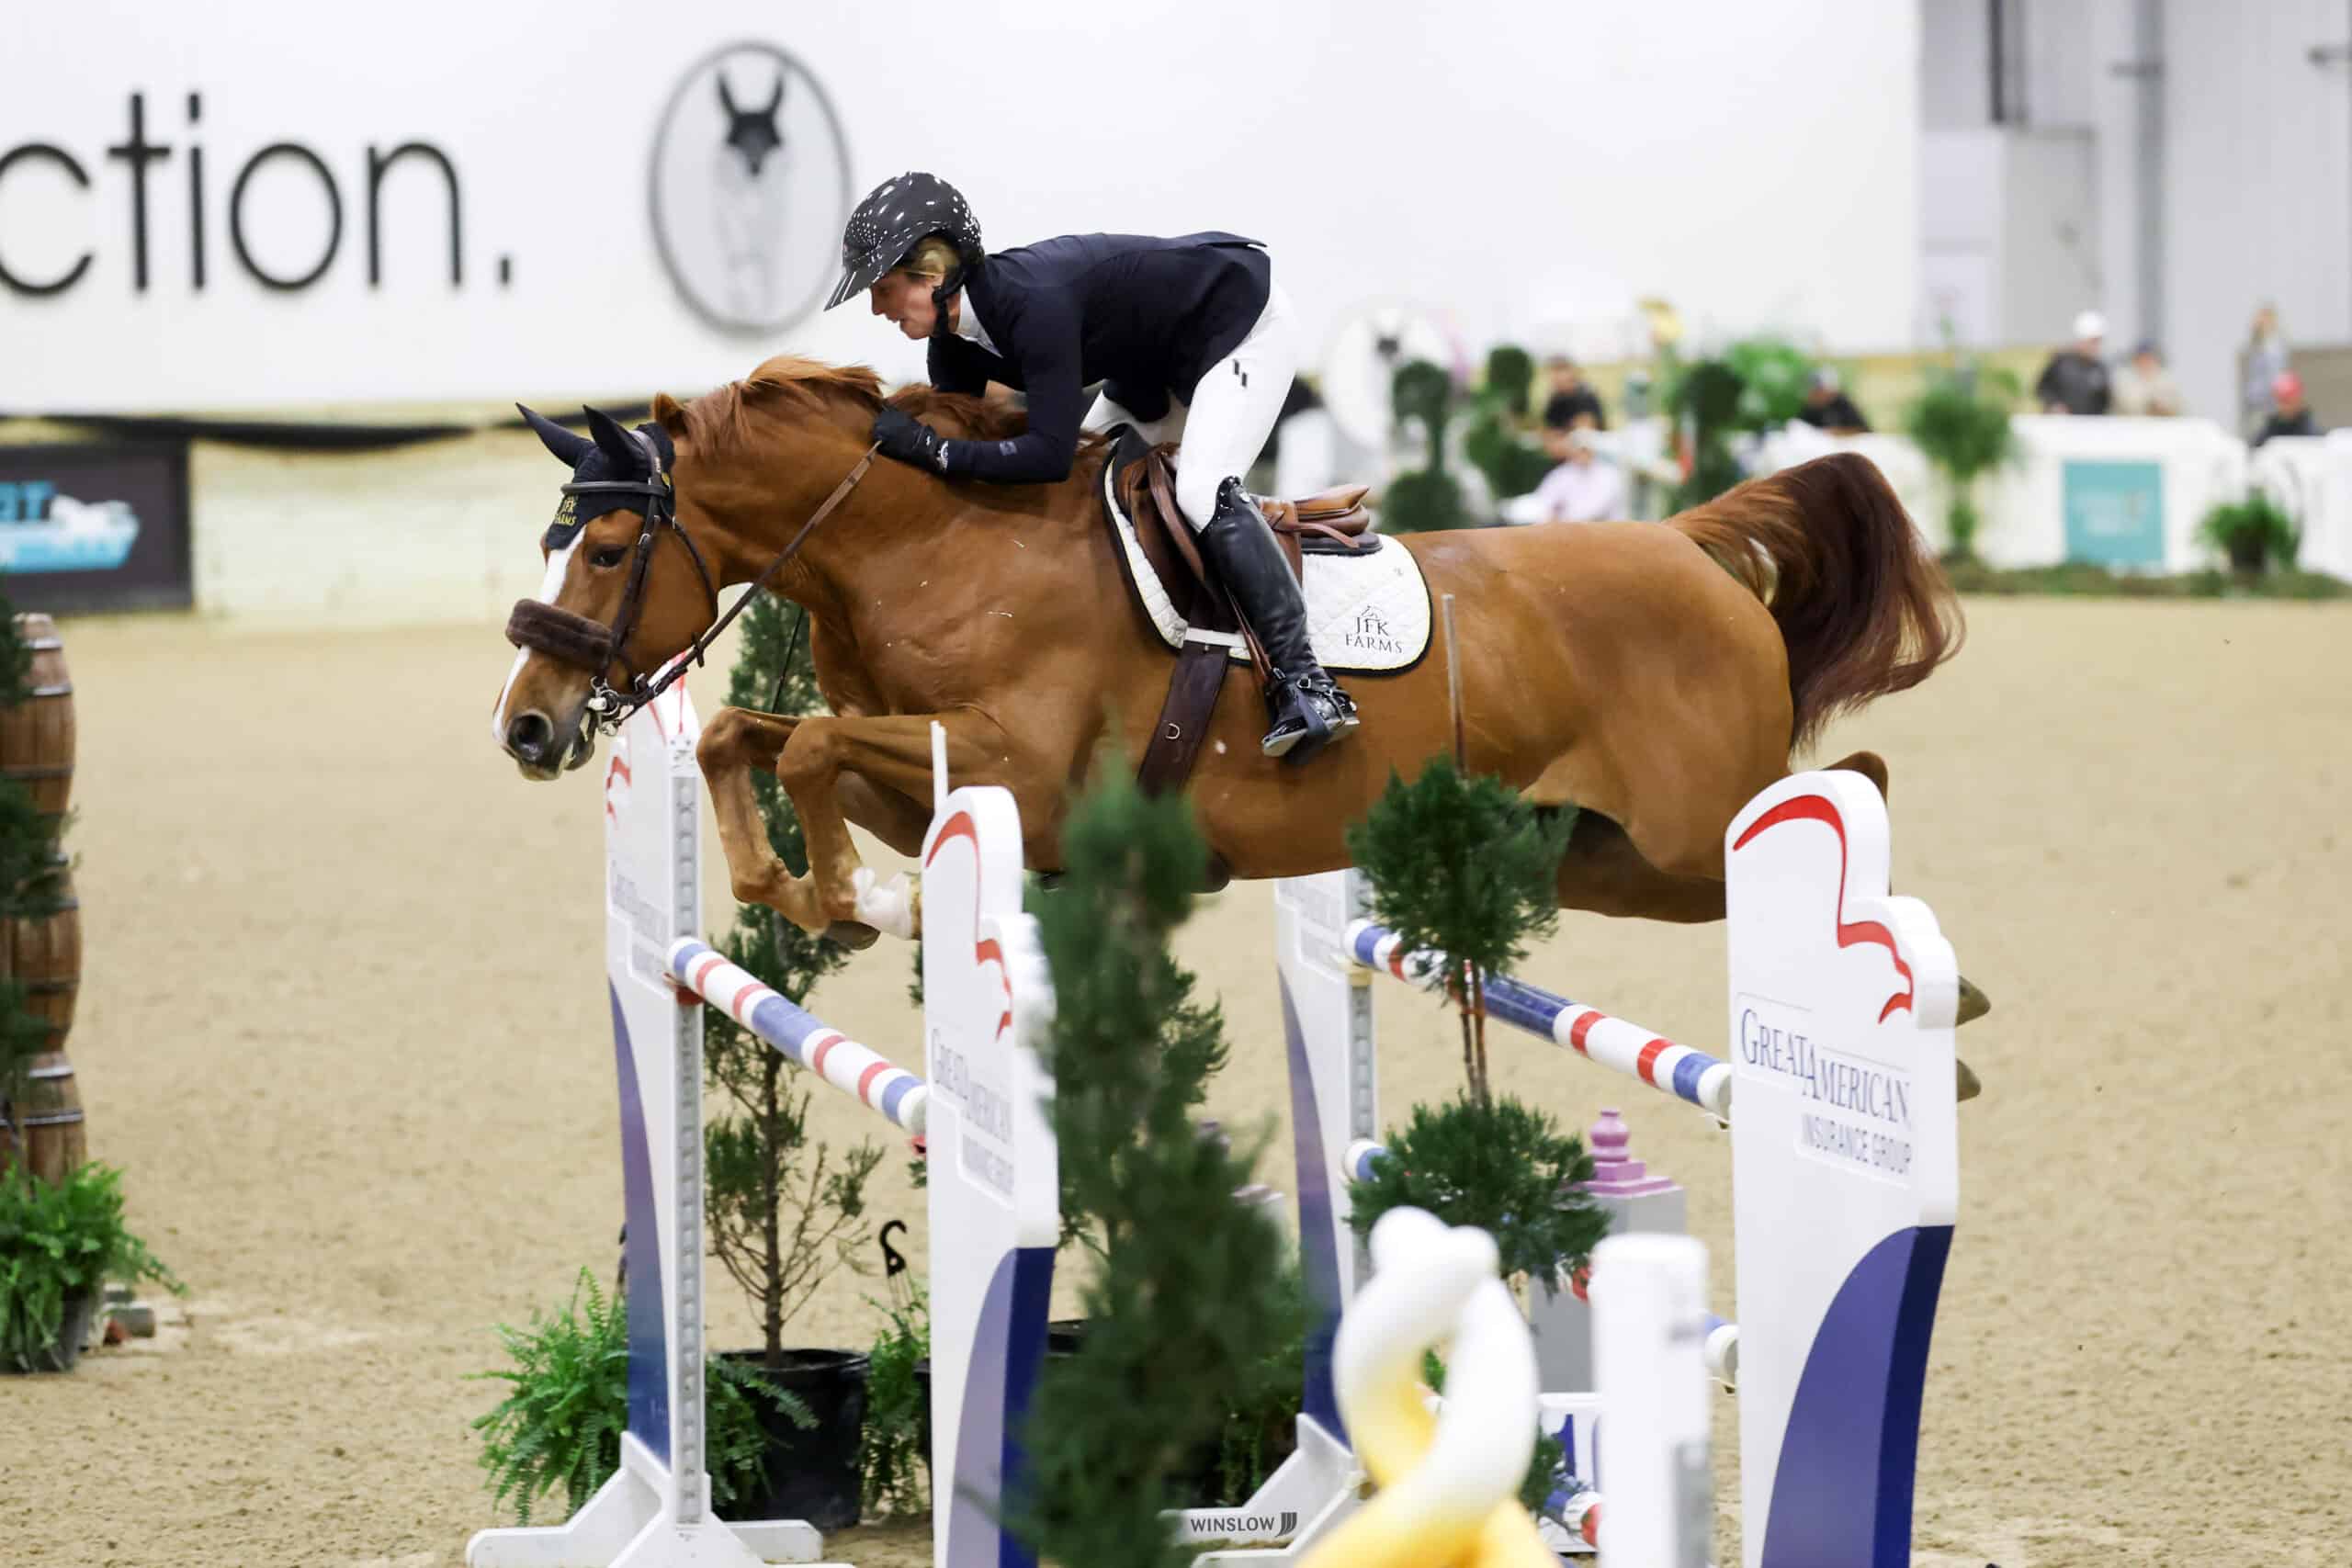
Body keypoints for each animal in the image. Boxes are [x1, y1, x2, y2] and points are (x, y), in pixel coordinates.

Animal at [493, 355, 1963, 954]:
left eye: (608, 549)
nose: (527, 723)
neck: (927, 539)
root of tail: (1688, 542)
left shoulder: (1021, 771)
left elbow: (796, 738)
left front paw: (851, 899)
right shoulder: (919, 777)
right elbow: (754, 738)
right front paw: (813, 896)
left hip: (1687, 826)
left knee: (1852, 787)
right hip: (1607, 860)